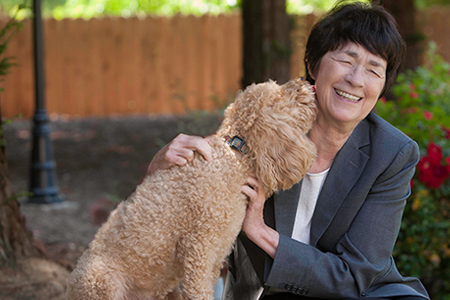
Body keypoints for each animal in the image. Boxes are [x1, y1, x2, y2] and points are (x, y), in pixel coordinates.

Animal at [68, 78, 318, 298]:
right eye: (280, 93)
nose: (305, 81)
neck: (232, 157)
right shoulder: (199, 253)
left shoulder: (216, 259)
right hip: (102, 282)